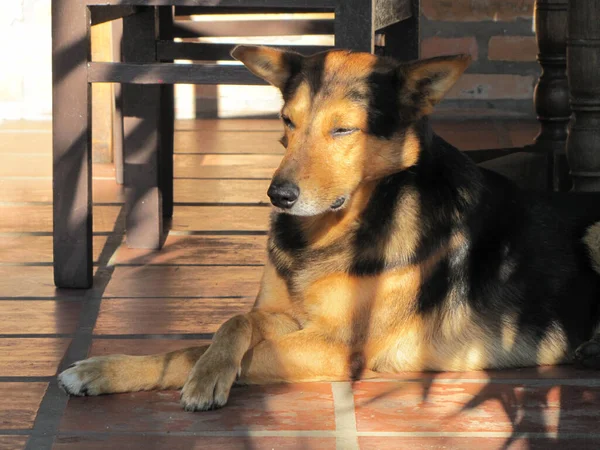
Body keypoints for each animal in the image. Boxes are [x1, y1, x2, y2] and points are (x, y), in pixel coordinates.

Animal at [58, 45, 600, 412]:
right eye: (286, 120)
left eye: (343, 129)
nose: (278, 196)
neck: (330, 231)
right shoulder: (286, 315)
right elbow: (225, 327)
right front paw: (107, 368)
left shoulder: (339, 347)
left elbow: (217, 351)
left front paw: (204, 378)